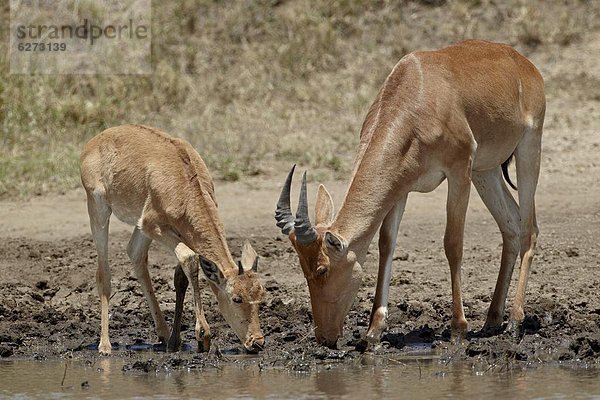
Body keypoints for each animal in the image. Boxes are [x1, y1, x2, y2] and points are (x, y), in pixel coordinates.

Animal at [79, 124, 264, 354]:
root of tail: (96, 141)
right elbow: (189, 258)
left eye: (260, 294)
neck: (184, 178)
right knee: (104, 273)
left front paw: (177, 341)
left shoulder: (182, 232)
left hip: (139, 227)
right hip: (99, 209)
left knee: (135, 255)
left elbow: (181, 275)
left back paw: (164, 335)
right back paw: (105, 345)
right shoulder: (154, 226)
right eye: (236, 298)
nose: (257, 342)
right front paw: (203, 336)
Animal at [274, 39, 548, 348]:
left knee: (529, 229)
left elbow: (453, 244)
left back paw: (514, 320)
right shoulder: (400, 187)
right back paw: (492, 320)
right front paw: (373, 331)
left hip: (527, 149)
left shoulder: (459, 171)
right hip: (485, 171)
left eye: (322, 269)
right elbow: (386, 244)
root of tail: (523, 63)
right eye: (302, 269)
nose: (324, 337)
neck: (419, 88)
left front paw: (458, 328)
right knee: (510, 225)